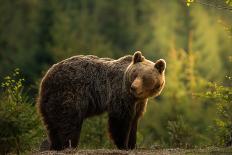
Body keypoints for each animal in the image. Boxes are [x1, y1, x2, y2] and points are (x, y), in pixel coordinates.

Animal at [37, 50, 166, 150]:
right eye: (135, 74)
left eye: (144, 77)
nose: (133, 87)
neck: (135, 97)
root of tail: (46, 77)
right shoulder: (119, 93)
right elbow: (121, 119)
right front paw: (123, 145)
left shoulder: (139, 102)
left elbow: (134, 120)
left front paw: (132, 145)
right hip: (69, 94)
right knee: (69, 122)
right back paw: (69, 145)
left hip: (51, 100)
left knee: (53, 124)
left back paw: (55, 145)